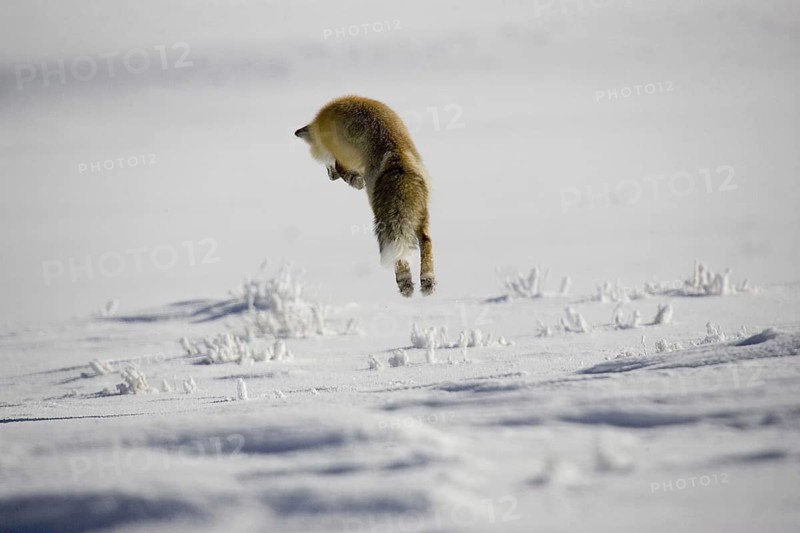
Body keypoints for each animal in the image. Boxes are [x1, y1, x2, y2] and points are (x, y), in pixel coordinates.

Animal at [295, 95, 435, 297]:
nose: (329, 178)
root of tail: (397, 156)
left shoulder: (342, 155)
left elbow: (341, 167)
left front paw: (354, 180)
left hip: (383, 214)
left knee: (399, 252)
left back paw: (404, 283)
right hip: (419, 213)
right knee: (426, 240)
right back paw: (427, 281)